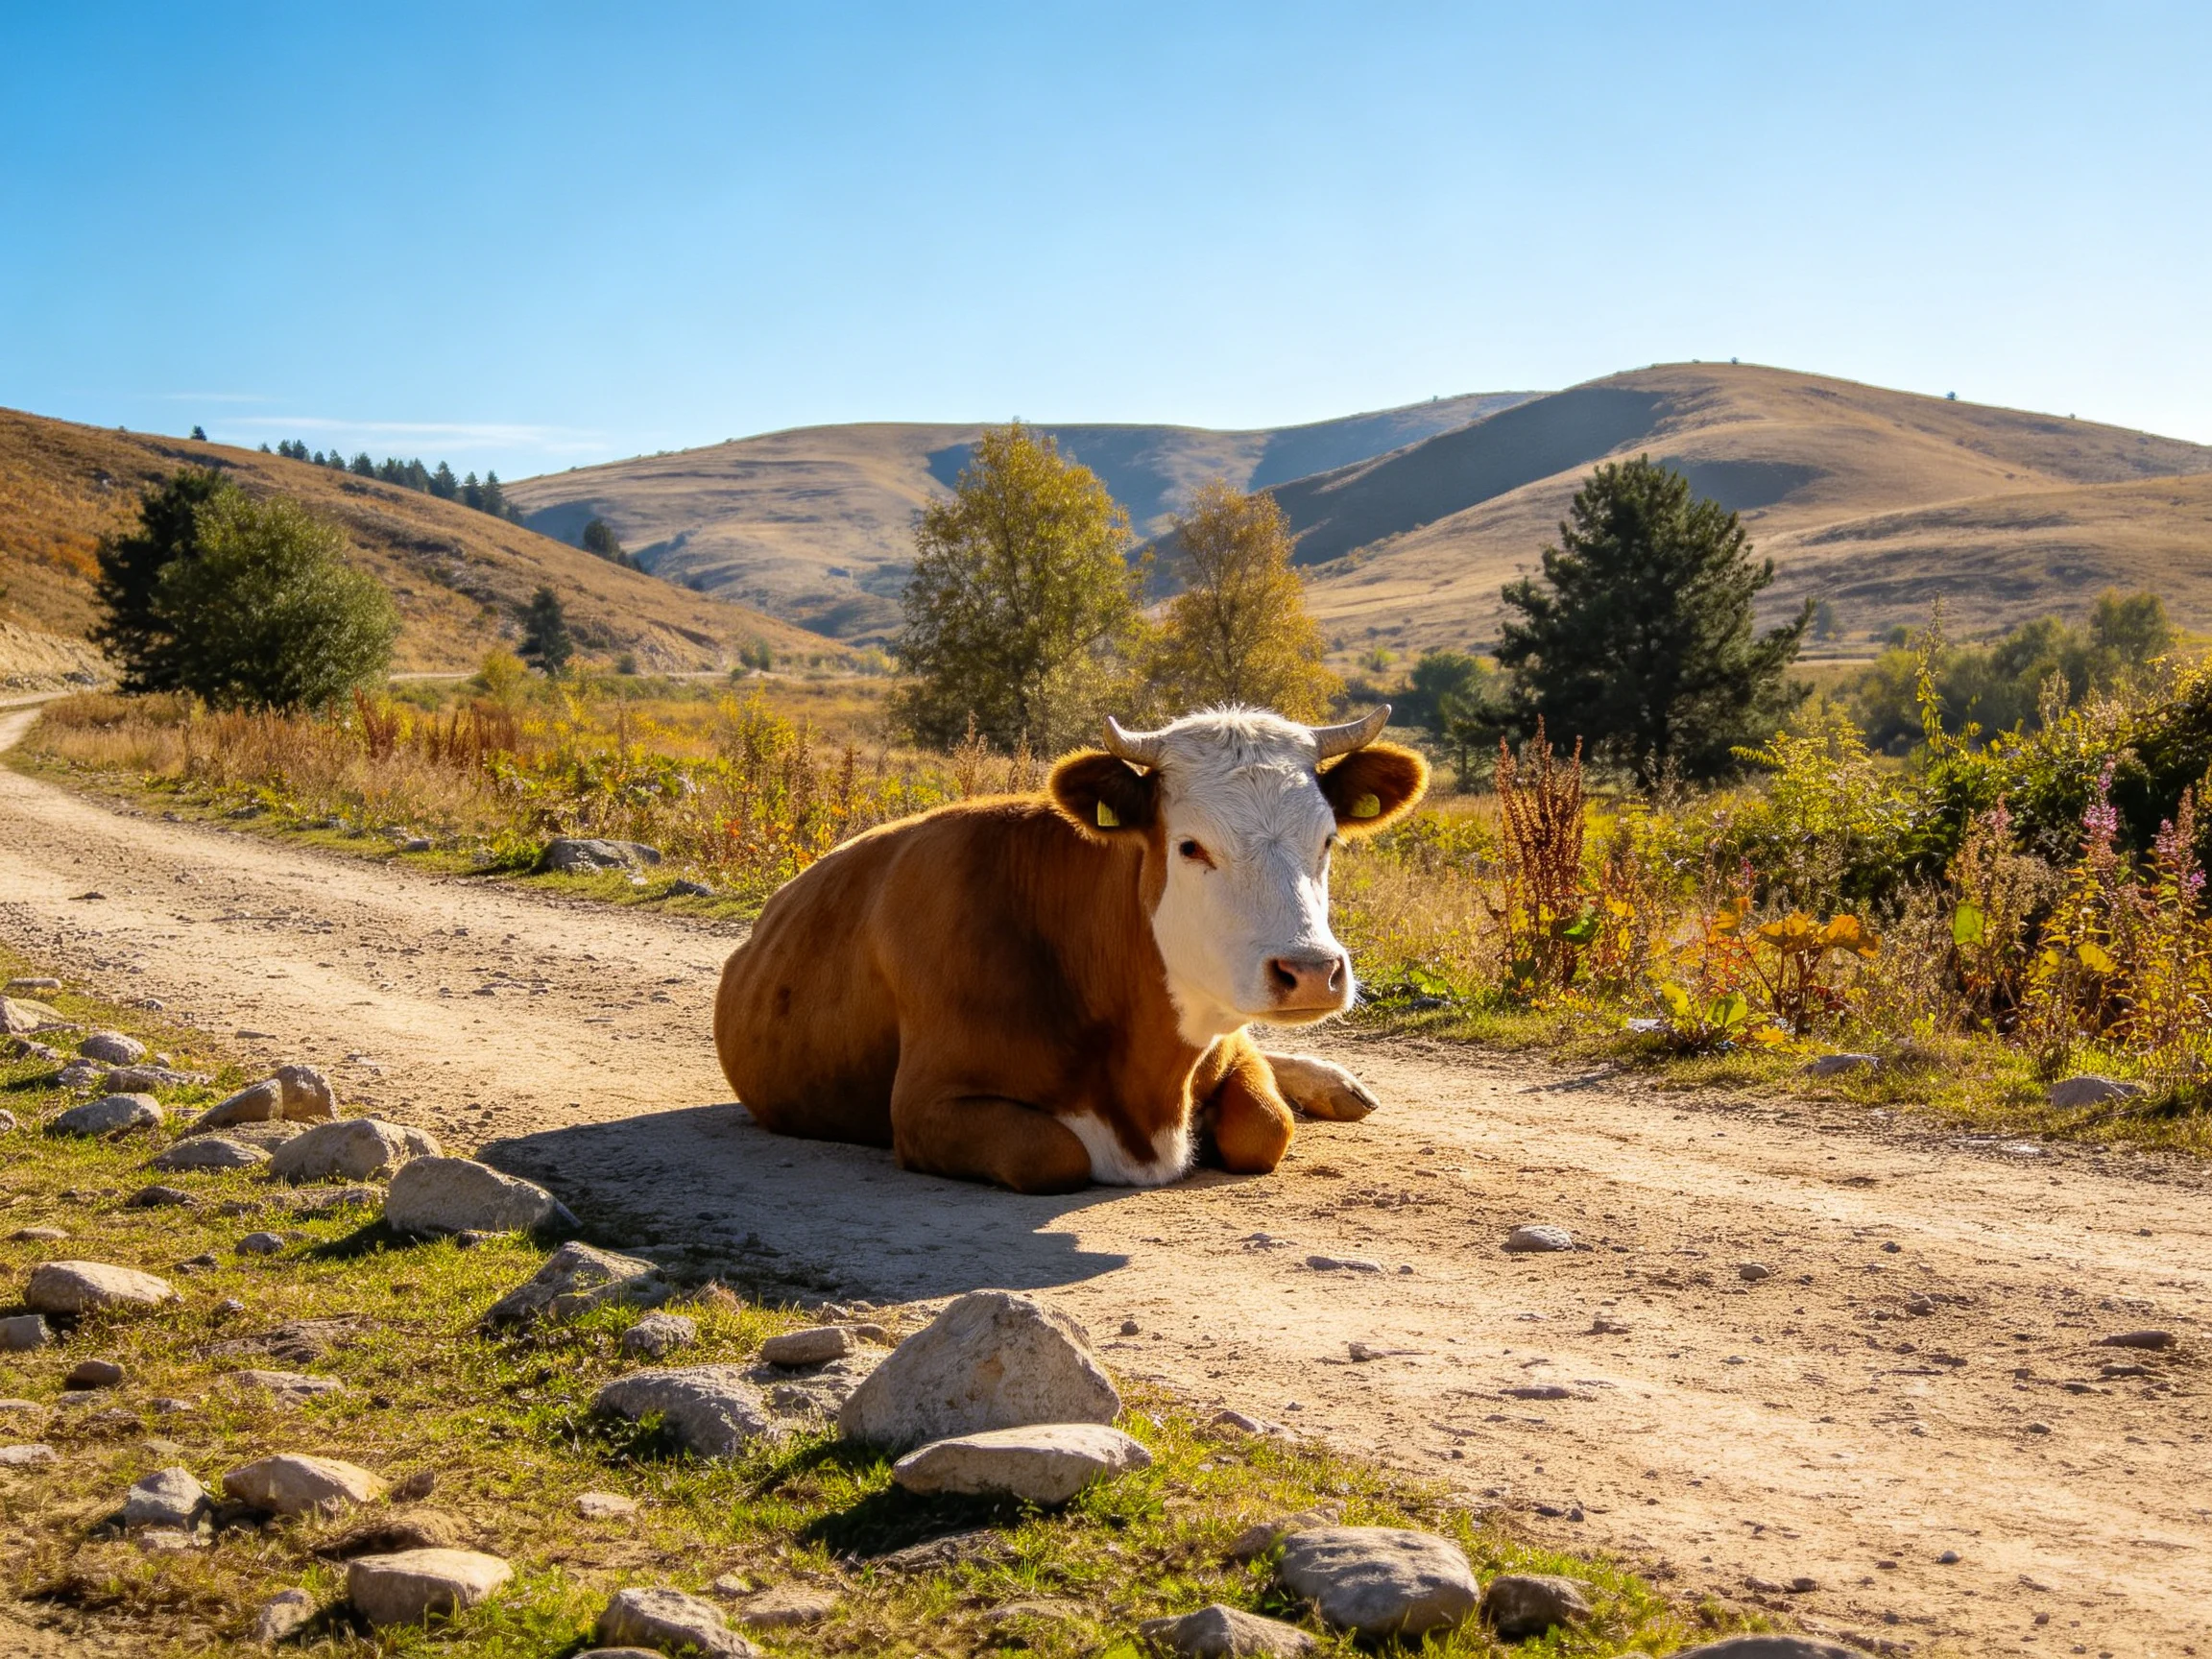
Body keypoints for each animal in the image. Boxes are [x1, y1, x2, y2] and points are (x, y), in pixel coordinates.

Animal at [712, 704, 1428, 1193]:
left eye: (1327, 840)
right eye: (1190, 846)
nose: (1309, 971)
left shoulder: (1226, 1046)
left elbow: (1264, 1125)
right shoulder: (924, 1106)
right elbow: (1052, 1152)